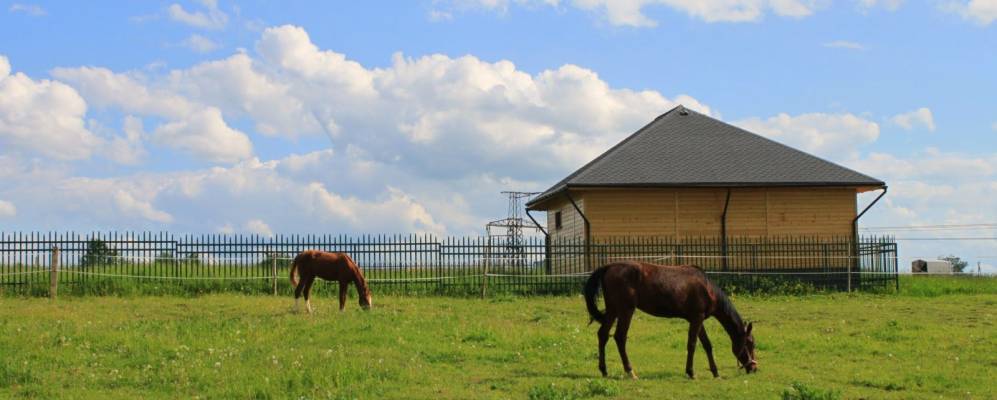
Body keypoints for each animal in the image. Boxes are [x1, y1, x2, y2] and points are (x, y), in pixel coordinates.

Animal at [584, 260, 756, 380]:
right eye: (750, 343)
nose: (754, 368)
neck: (707, 288)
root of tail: (609, 266)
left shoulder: (697, 320)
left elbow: (707, 345)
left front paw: (715, 372)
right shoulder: (697, 319)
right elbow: (692, 344)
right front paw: (691, 372)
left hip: (613, 310)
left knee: (603, 335)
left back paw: (604, 370)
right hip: (626, 310)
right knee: (619, 337)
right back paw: (630, 371)